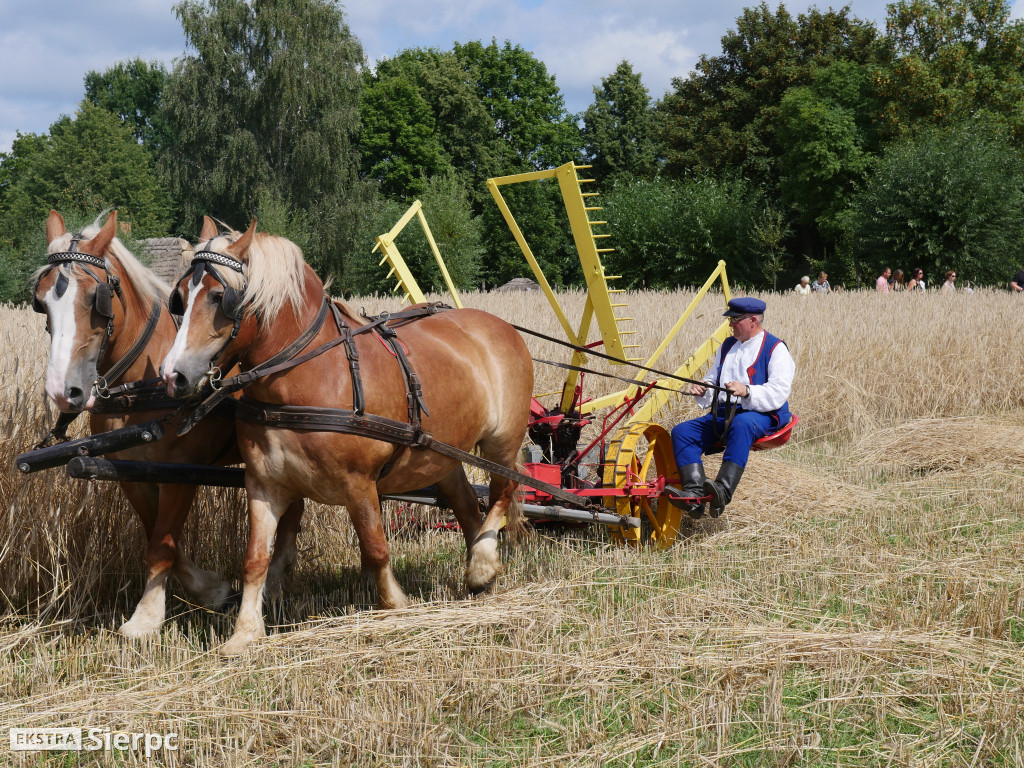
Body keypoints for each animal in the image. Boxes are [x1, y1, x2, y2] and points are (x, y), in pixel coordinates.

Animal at [36, 210, 299, 638]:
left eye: (96, 299)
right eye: (41, 303)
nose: (63, 391)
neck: (142, 388)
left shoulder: (180, 473)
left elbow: (162, 544)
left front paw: (145, 617)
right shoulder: (132, 473)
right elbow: (158, 538)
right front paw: (212, 590)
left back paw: (275, 584)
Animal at [163, 221, 532, 655]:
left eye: (220, 297)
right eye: (179, 297)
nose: (173, 376)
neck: (306, 377)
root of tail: (500, 325)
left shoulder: (359, 484)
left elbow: (374, 547)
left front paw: (395, 606)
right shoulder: (264, 484)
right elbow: (255, 559)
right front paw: (245, 633)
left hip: (502, 443)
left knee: (503, 492)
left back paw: (483, 564)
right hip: (439, 455)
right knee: (467, 505)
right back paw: (480, 571)